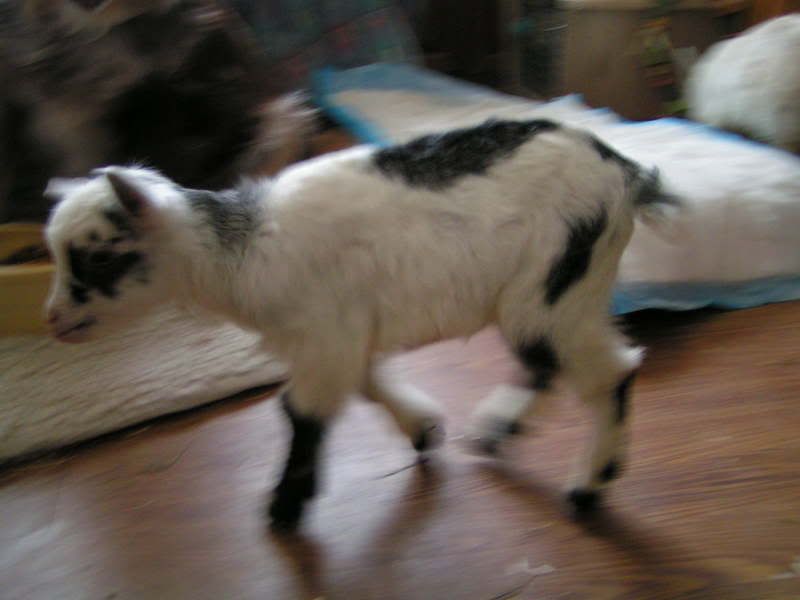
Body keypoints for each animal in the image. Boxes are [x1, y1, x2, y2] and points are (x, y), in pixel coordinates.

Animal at [44, 119, 675, 530]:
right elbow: (368, 382)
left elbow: (300, 412)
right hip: (551, 294)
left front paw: (284, 509)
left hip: (553, 283)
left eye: (96, 259)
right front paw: (423, 430)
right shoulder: (341, 336)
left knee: (608, 373)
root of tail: (624, 172)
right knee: (546, 362)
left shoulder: (325, 336)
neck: (240, 253)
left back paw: (589, 485)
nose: (52, 321)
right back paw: (499, 430)